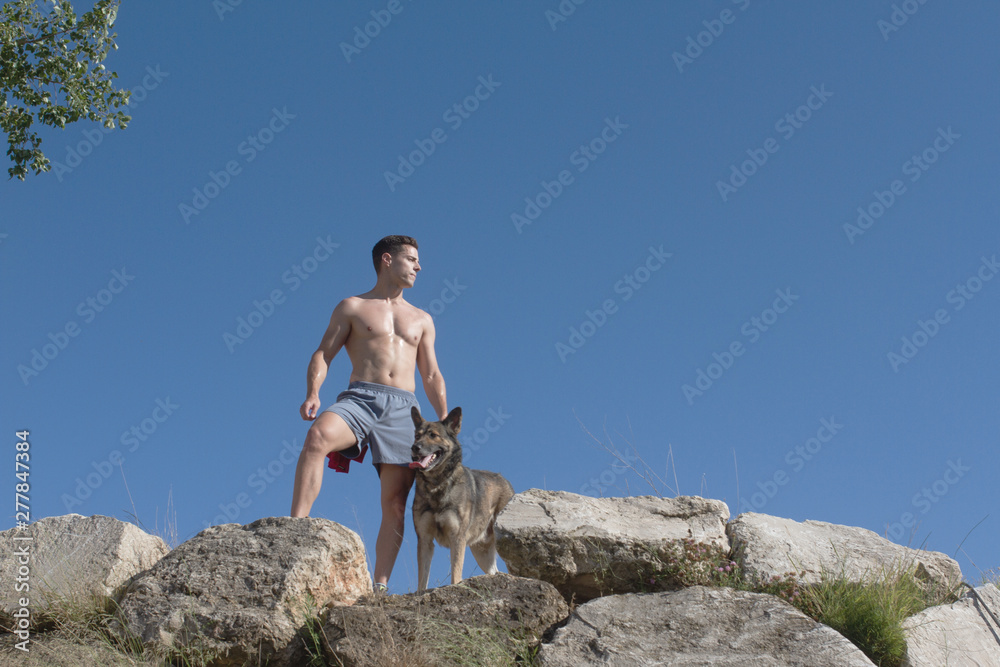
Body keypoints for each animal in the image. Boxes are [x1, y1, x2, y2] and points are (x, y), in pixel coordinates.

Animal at [408, 408, 512, 588]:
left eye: (433, 435)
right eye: (417, 436)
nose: (415, 447)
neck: (437, 485)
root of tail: (504, 480)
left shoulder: (456, 538)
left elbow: (456, 574)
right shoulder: (424, 539)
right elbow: (422, 579)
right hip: (481, 552)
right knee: (494, 571)